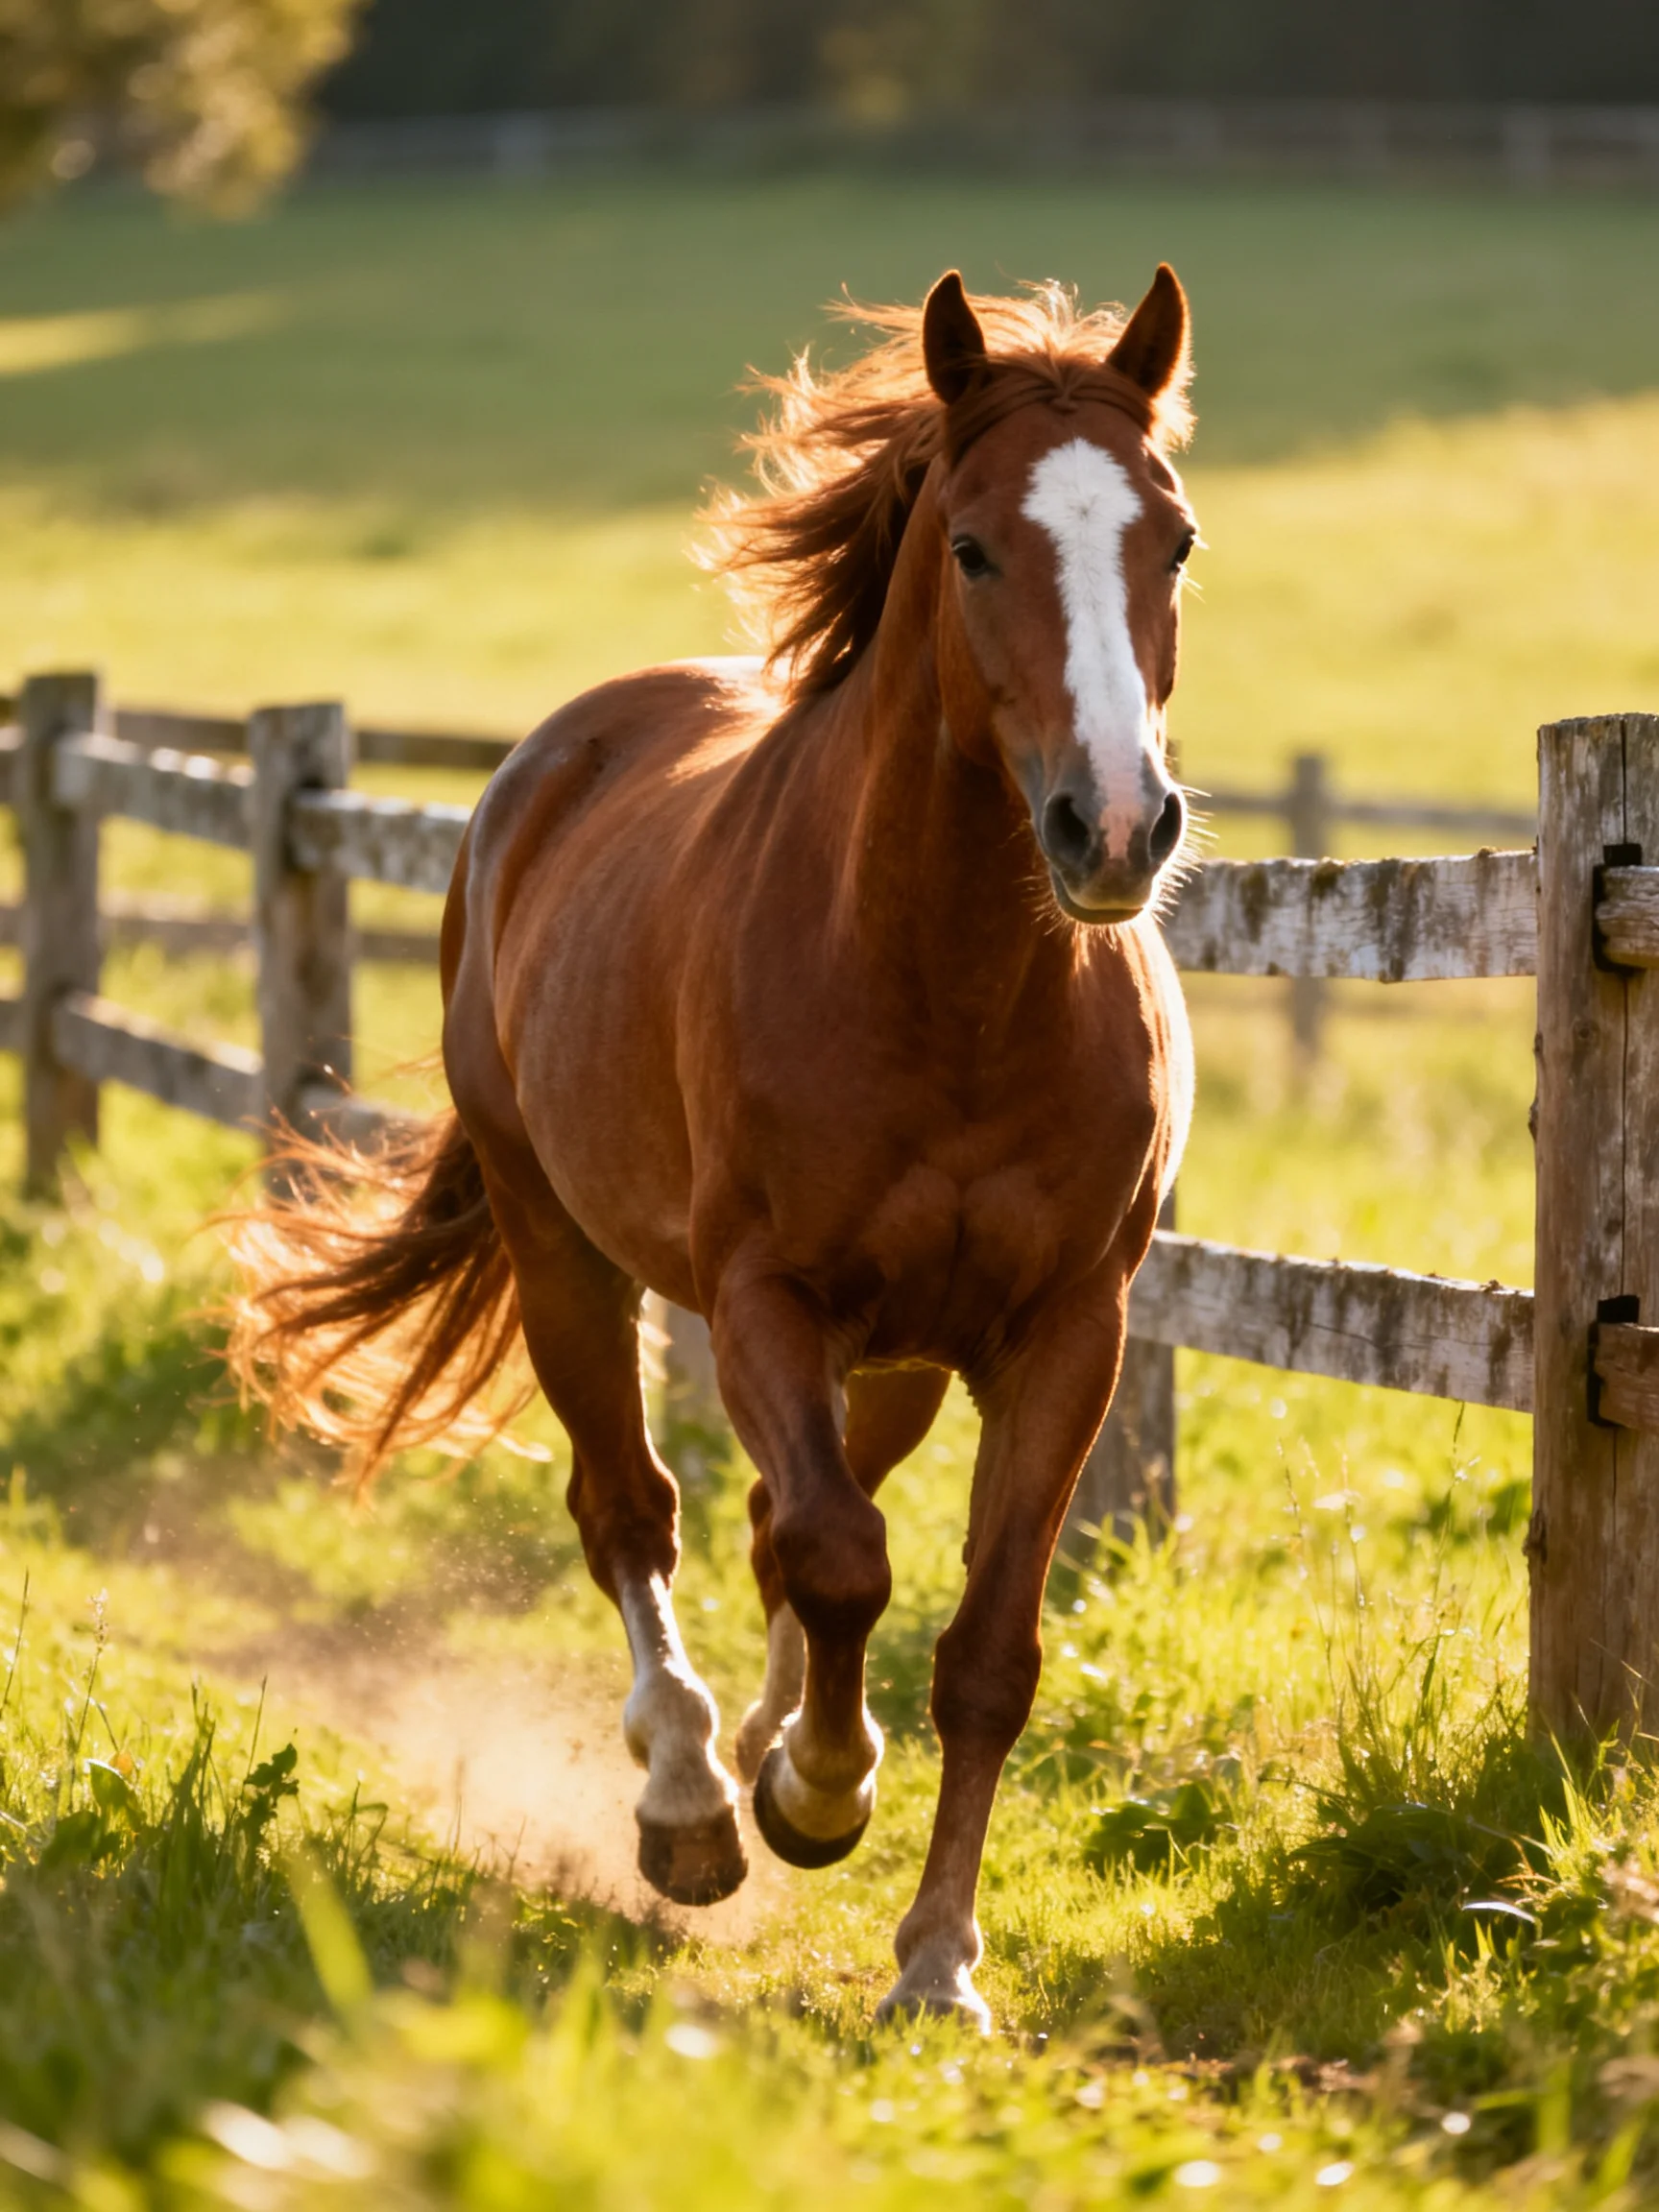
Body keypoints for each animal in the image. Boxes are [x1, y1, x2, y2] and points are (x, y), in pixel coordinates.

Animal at [227, 264, 1200, 2031]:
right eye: (973, 548)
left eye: (1171, 539)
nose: (1111, 827)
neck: (949, 988)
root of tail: (550, 763)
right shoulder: (766, 1299)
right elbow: (836, 1558)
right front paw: (813, 1791)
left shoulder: (1063, 1331)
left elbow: (984, 1648)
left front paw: (936, 1961)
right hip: (564, 1253)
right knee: (639, 1508)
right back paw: (689, 1794)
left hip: (898, 1358)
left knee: (765, 1517)